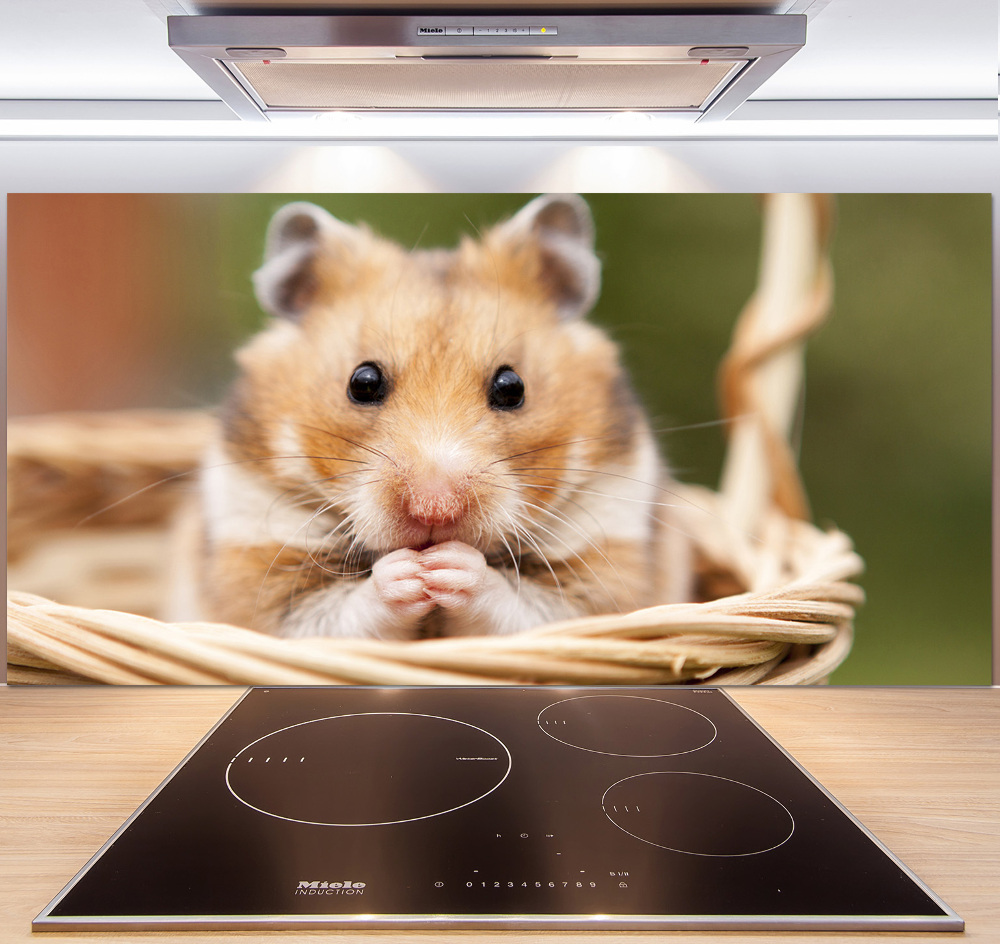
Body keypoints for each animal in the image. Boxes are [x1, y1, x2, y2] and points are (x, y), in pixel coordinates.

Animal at [182, 198, 688, 640]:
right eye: (362, 382)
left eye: (512, 387)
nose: (434, 510)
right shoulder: (257, 571)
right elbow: (337, 613)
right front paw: (410, 573)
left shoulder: (605, 572)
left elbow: (524, 607)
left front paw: (449, 567)